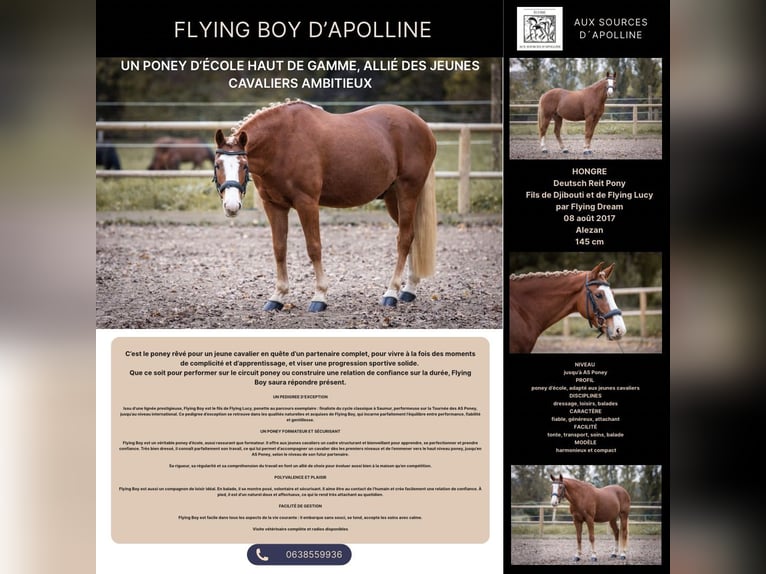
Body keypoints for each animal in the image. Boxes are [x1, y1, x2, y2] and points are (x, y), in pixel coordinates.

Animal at [213, 99, 437, 312]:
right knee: (411, 236)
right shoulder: (274, 206)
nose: (231, 205)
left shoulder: (307, 203)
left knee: (404, 239)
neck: (282, 143)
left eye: (244, 165)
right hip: (392, 198)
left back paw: (391, 292)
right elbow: (279, 248)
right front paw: (277, 296)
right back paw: (408, 289)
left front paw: (319, 297)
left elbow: (314, 247)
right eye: (217, 165)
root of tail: (423, 126)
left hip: (407, 192)